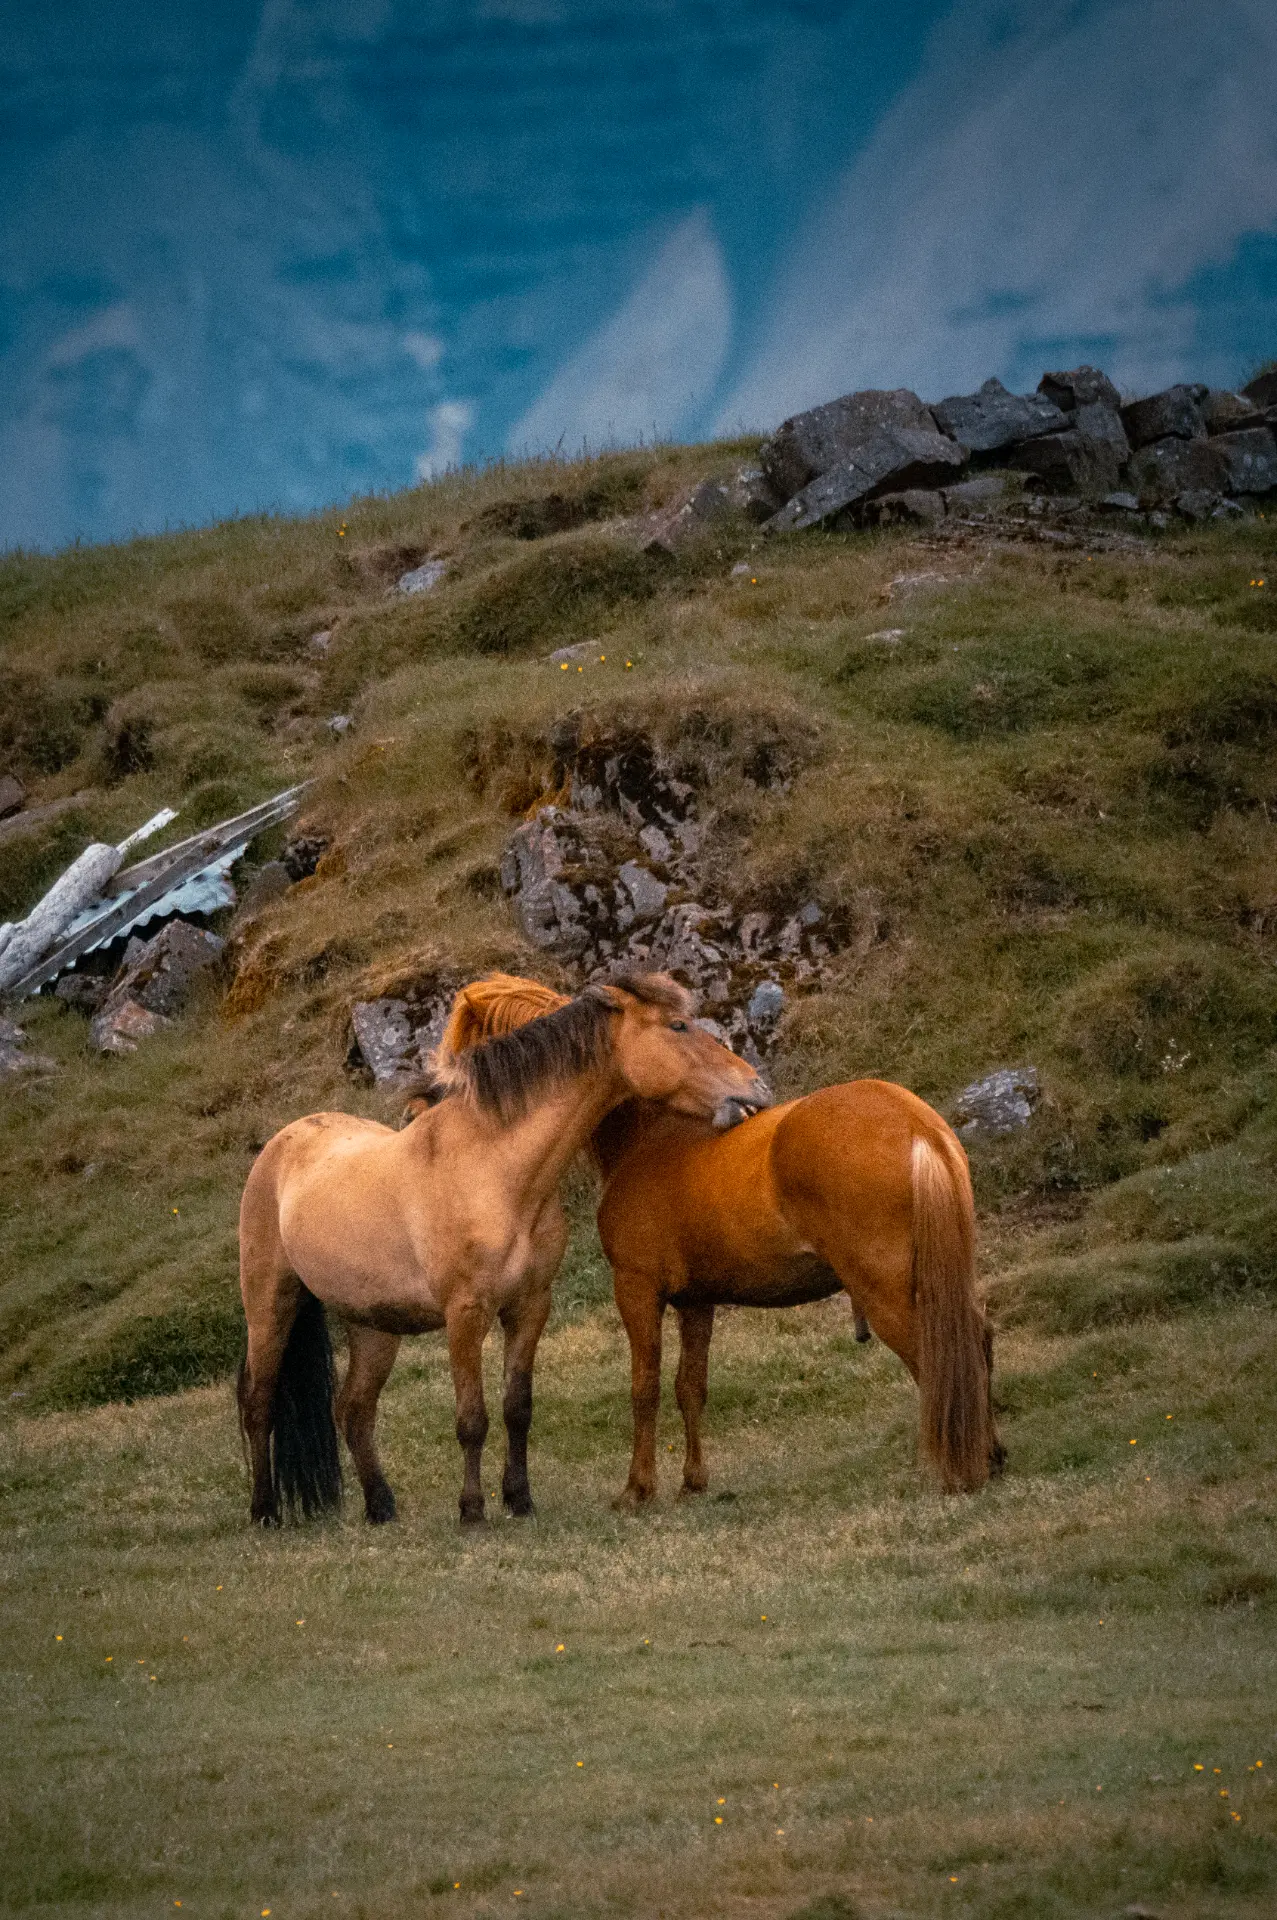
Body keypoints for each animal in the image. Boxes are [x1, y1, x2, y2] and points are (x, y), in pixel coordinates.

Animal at [236, 971, 768, 1527]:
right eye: (678, 1025)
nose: (756, 1088)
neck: (495, 1172)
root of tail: (282, 1143)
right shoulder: (466, 1314)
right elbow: (472, 1417)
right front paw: (472, 1509)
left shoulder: (529, 1307)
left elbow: (518, 1408)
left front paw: (519, 1498)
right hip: (270, 1305)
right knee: (259, 1403)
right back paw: (265, 1511)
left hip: (374, 1325)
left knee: (354, 1410)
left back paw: (381, 1507)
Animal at [446, 975, 1003, 1504]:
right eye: (678, 1026)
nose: (754, 1087)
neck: (650, 1137)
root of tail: (915, 1124)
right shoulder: (697, 1302)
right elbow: (690, 1388)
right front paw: (693, 1482)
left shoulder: (637, 1289)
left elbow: (644, 1388)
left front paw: (638, 1489)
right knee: (977, 1340)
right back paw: (991, 1455)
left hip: (887, 1296)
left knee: (936, 1358)